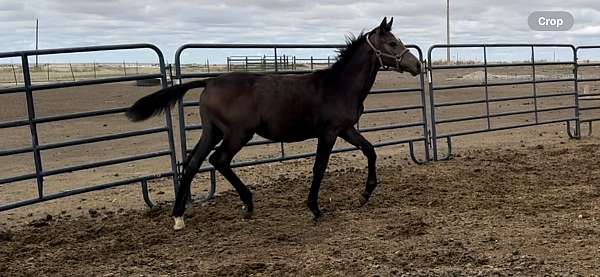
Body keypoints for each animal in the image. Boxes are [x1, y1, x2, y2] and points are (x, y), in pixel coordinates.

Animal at [125, 17, 422, 229]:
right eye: (392, 43)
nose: (417, 65)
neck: (339, 86)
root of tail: (209, 81)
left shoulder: (346, 129)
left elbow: (370, 151)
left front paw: (365, 194)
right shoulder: (328, 133)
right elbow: (319, 167)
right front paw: (315, 208)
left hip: (213, 131)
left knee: (193, 163)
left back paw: (179, 217)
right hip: (237, 134)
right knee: (218, 160)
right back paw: (247, 204)